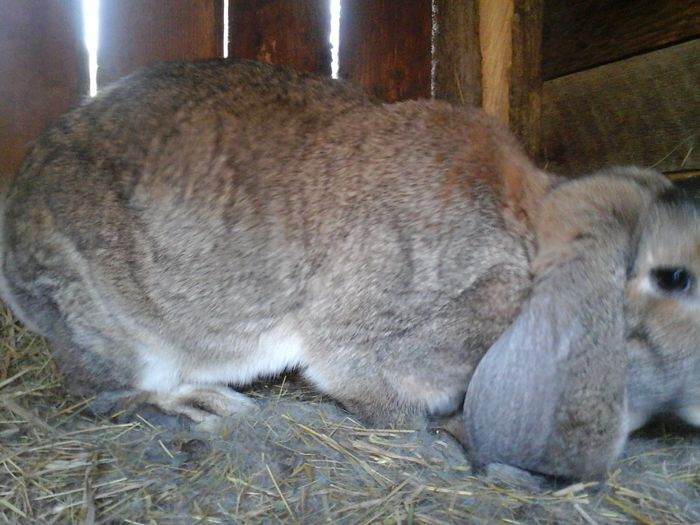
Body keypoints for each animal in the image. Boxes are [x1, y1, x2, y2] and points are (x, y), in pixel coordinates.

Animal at [0, 58, 696, 478]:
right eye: (676, 279)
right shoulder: (366, 334)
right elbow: (373, 391)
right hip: (118, 329)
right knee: (111, 393)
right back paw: (211, 406)